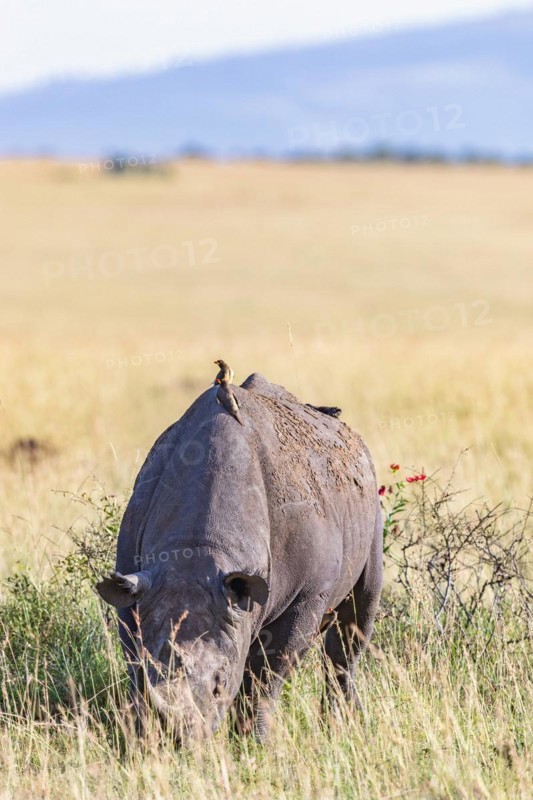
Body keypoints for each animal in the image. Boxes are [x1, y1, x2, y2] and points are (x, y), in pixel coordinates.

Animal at [97, 373, 382, 741]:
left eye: (220, 684)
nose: (180, 737)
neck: (197, 550)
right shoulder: (134, 589)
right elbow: (135, 661)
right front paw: (141, 737)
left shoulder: (305, 594)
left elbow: (266, 674)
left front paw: (254, 742)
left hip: (370, 500)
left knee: (357, 621)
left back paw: (342, 725)